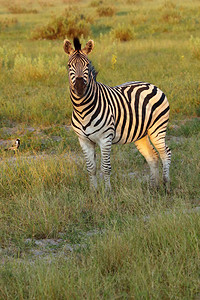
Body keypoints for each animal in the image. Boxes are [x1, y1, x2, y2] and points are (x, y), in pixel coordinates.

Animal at [63, 37, 171, 191]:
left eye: (87, 65)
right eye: (69, 65)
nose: (79, 88)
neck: (82, 109)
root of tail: (152, 85)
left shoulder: (105, 138)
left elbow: (105, 167)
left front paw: (108, 192)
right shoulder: (84, 140)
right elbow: (91, 168)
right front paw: (94, 191)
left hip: (157, 129)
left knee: (165, 153)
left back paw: (166, 184)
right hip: (140, 134)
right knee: (153, 157)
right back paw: (153, 188)